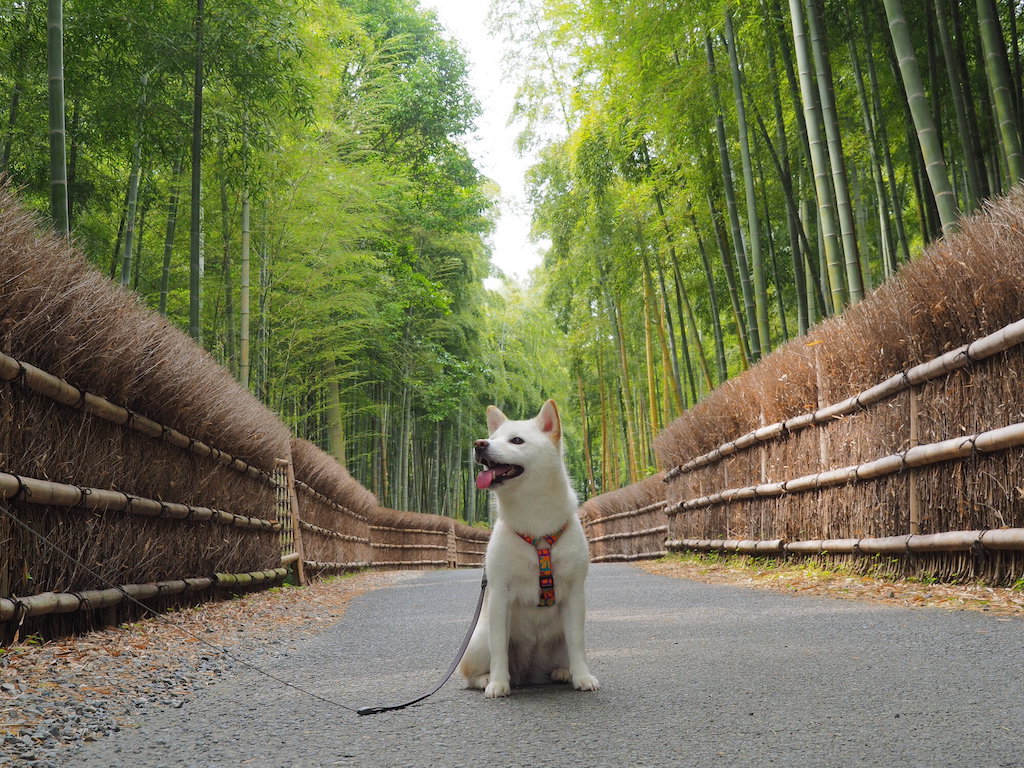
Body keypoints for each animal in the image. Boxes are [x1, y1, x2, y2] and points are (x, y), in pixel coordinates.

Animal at [458, 399, 598, 700]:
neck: (536, 523)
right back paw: (488, 679)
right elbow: (499, 648)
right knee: (470, 674)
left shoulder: (575, 593)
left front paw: (582, 677)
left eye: (517, 440)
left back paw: (563, 672)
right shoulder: (500, 593)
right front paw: (498, 683)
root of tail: (529, 673)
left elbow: (577, 643)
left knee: (565, 655)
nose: (480, 444)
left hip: (558, 641)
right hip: (479, 640)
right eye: (493, 437)